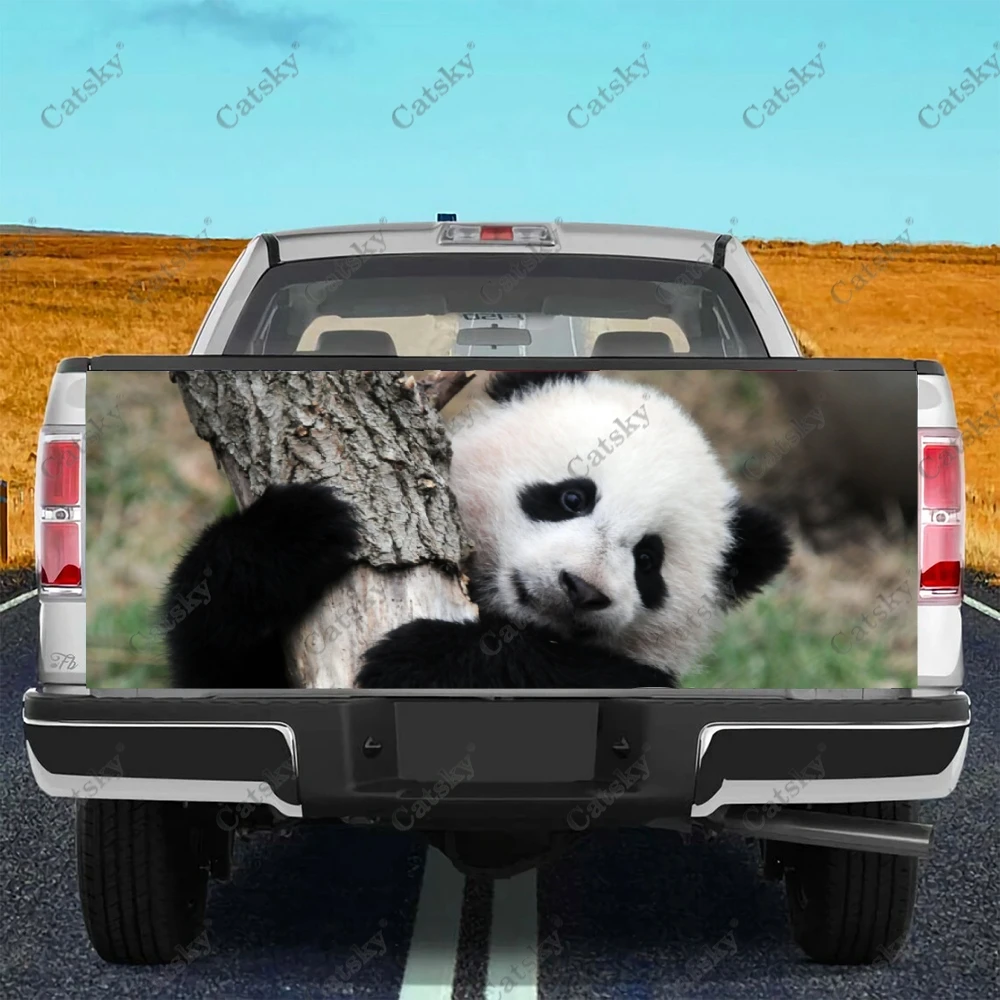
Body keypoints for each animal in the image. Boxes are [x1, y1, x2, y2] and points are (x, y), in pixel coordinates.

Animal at [163, 371, 791, 690]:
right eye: (572, 497)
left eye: (648, 561)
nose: (581, 588)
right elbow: (217, 662)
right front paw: (295, 534)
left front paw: (424, 659)